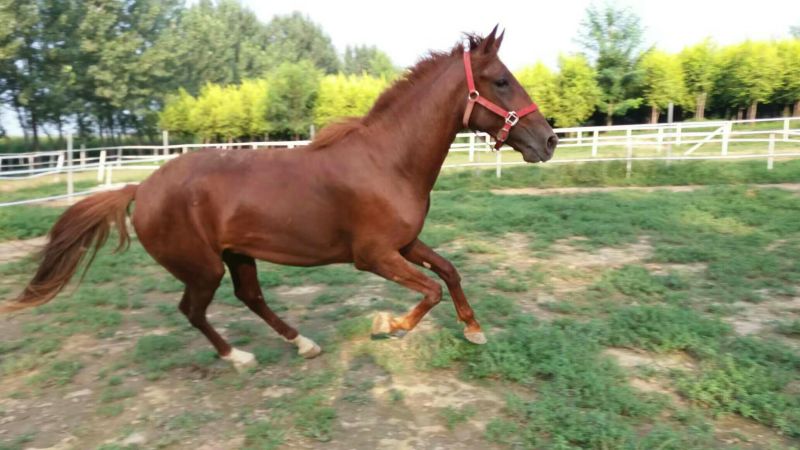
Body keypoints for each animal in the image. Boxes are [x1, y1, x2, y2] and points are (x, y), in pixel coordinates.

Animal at [2, 27, 557, 370]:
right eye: (501, 81)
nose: (549, 140)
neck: (388, 161)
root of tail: (141, 187)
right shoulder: (373, 255)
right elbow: (431, 291)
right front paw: (389, 326)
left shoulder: (405, 244)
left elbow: (450, 273)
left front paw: (474, 331)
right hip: (203, 267)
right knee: (194, 310)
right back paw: (239, 358)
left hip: (238, 255)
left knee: (250, 298)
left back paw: (304, 344)